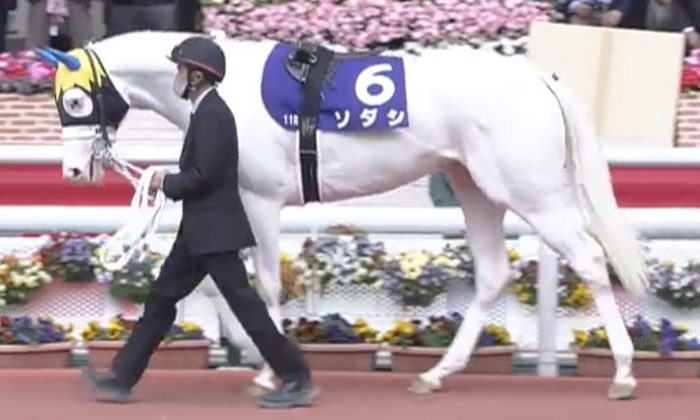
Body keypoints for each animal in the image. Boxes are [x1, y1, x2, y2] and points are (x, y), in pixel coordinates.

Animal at [38, 30, 649, 400]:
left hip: (530, 190)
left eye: (74, 101)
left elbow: (261, 283)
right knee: (495, 273)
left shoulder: (260, 199)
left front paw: (271, 367)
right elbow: (213, 282)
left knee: (589, 259)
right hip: (474, 186)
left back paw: (622, 371)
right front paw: (243, 348)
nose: (73, 172)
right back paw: (437, 372)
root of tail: (537, 78)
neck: (227, 90)